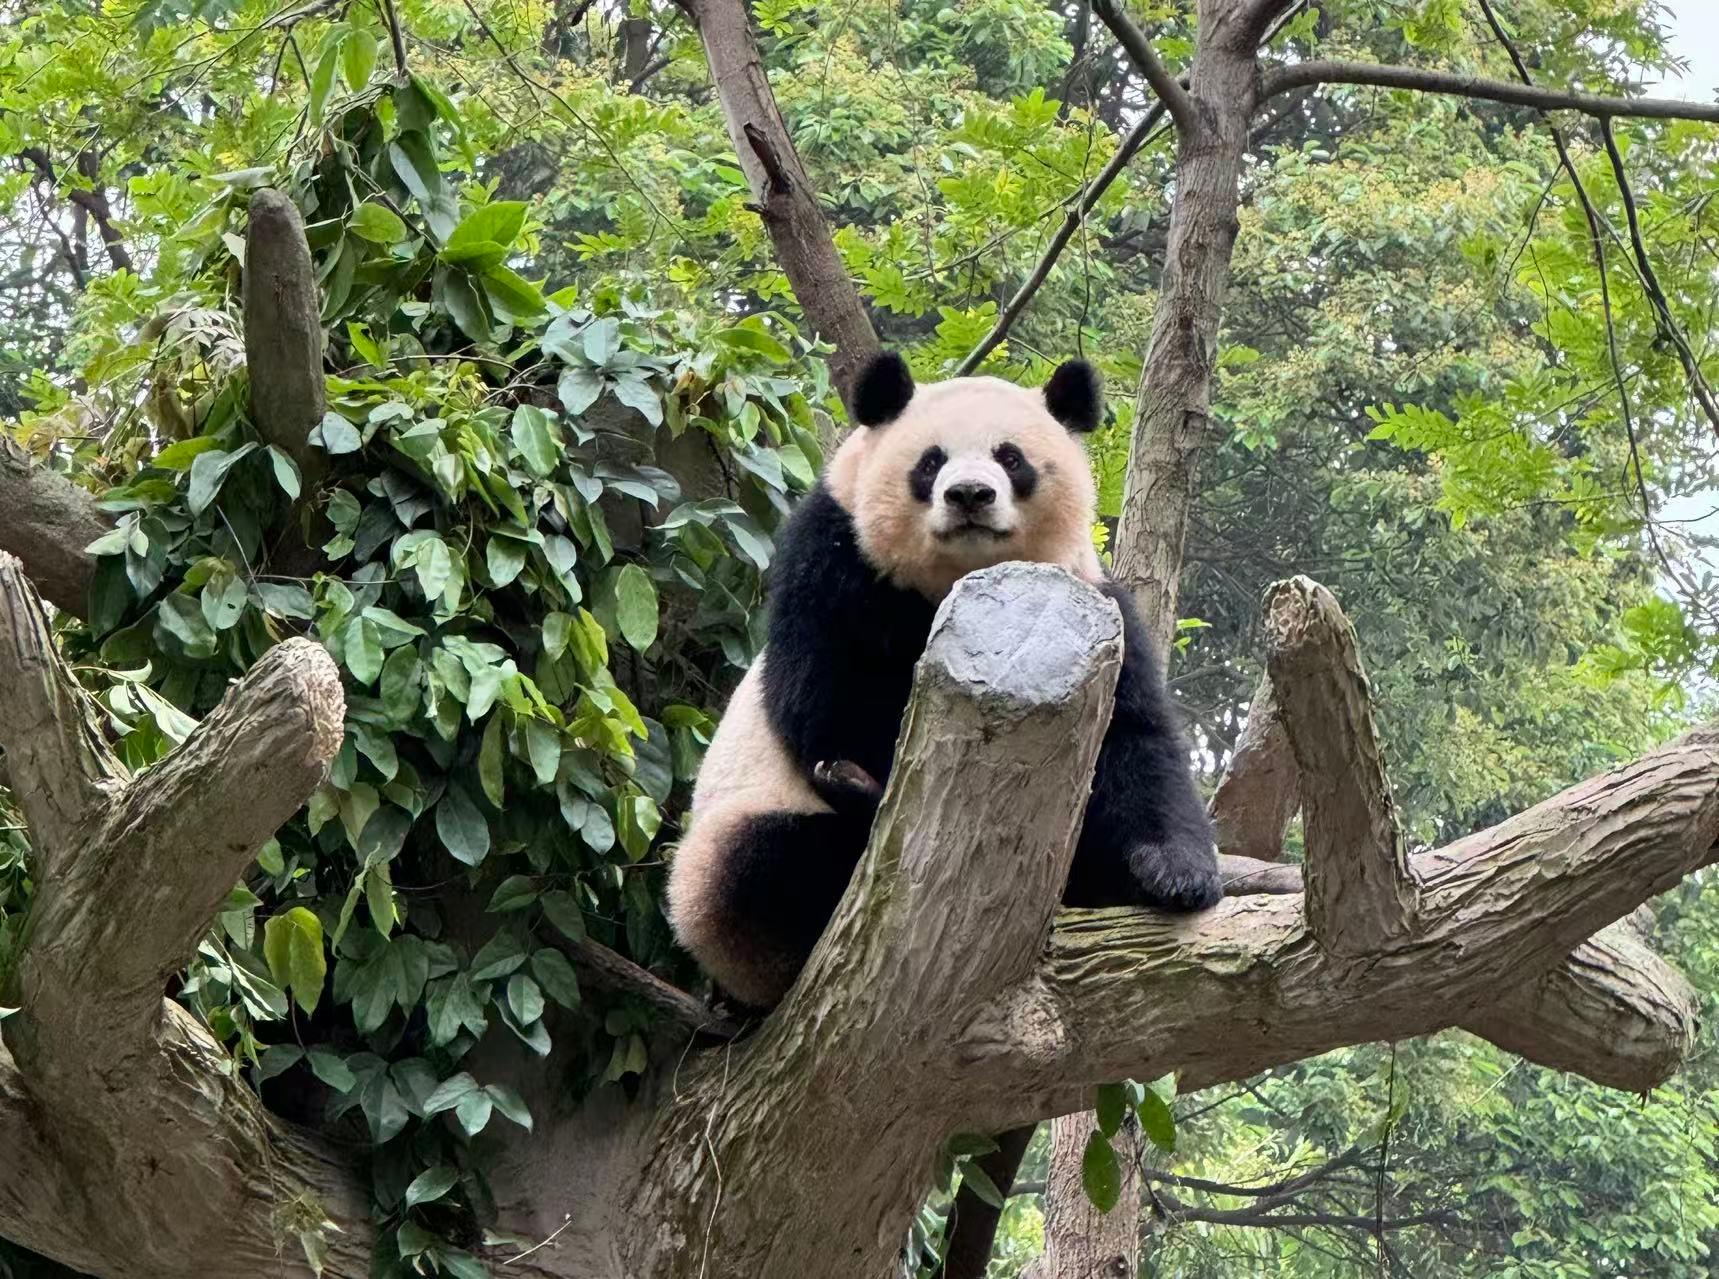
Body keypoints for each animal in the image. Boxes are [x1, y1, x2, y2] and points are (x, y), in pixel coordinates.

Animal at [666, 352, 1221, 1009]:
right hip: (726, 851)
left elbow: (1138, 741)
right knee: (765, 869)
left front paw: (1177, 874)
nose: (970, 494)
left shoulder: (1094, 605)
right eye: (930, 462)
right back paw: (853, 796)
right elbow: (830, 700)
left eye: (1011, 458)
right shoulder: (835, 563)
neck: (962, 579)